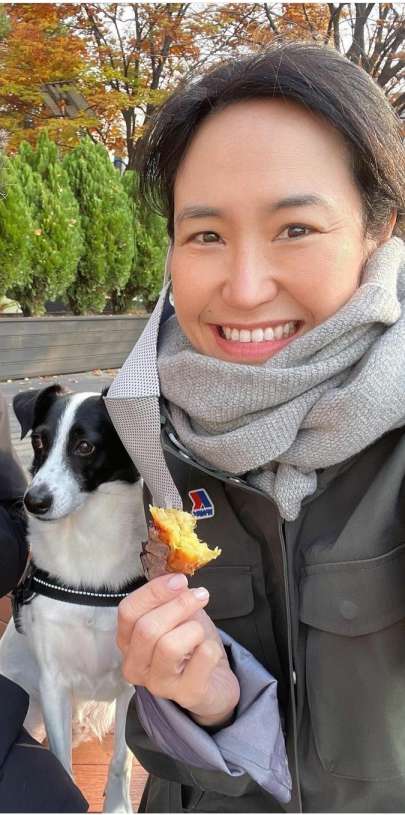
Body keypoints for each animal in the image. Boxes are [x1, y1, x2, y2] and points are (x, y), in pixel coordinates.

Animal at [0, 384, 146, 813]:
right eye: (38, 441)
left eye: (84, 446)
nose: (33, 501)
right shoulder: (53, 684)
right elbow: (62, 764)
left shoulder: (134, 685)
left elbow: (121, 759)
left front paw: (117, 805)